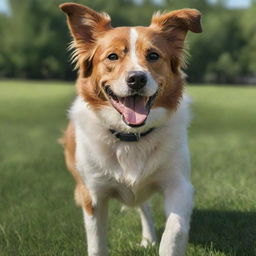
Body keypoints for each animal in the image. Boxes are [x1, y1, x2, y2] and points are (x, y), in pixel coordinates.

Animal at [60, 2, 202, 256]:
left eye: (153, 55)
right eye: (112, 56)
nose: (136, 79)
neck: (131, 137)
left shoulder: (179, 185)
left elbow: (174, 230)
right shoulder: (92, 195)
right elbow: (96, 244)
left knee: (144, 205)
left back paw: (148, 238)